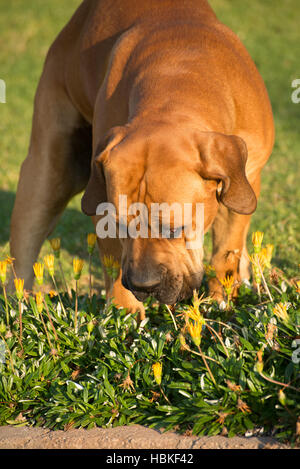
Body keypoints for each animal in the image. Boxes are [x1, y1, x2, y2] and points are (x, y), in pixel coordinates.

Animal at [10, 0, 274, 316]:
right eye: (119, 225)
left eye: (176, 228)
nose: (144, 285)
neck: (178, 81)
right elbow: (114, 267)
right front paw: (124, 318)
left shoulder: (244, 182)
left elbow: (226, 251)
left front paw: (221, 300)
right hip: (48, 171)